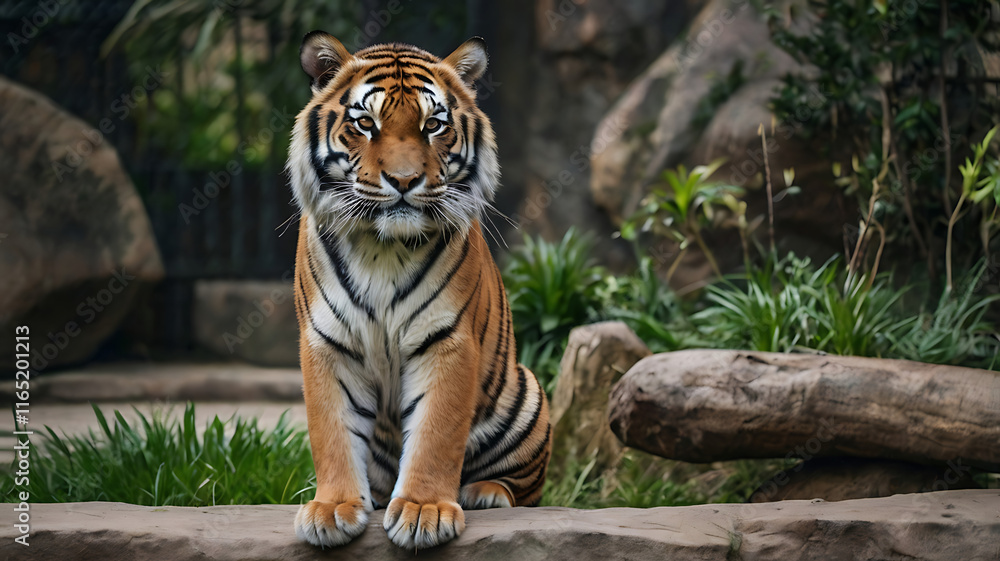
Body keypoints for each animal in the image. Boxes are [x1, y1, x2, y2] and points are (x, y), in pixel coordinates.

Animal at [287, 32, 551, 550]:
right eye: (365, 123)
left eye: (433, 125)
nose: (405, 181)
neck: (382, 248)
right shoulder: (327, 343)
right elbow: (331, 430)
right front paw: (332, 509)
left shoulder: (447, 340)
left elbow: (436, 434)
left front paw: (423, 511)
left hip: (527, 392)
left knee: (524, 490)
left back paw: (485, 493)